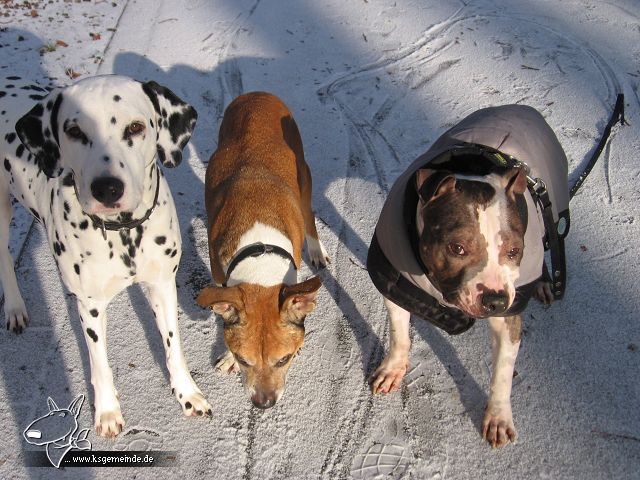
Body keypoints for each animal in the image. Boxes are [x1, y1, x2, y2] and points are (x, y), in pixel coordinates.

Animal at [1, 74, 214, 436]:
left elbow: (173, 346)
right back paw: (15, 307)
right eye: (74, 131)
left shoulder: (162, 285)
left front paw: (187, 393)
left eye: (136, 127)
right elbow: (99, 363)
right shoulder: (90, 307)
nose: (108, 188)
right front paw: (107, 411)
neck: (124, 232)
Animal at [195, 93, 328, 408]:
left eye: (284, 360)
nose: (263, 403)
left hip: (304, 178)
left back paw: (317, 249)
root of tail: (257, 94)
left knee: (310, 215)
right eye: (244, 359)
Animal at [368, 103, 568, 448]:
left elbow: (502, 371)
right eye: (457, 247)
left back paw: (544, 282)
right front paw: (393, 368)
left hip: (552, 208)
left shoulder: (508, 316)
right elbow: (398, 335)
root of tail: (523, 108)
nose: (495, 299)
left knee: (549, 236)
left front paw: (498, 417)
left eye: (514, 251)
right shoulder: (396, 285)